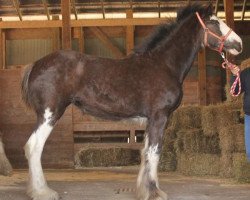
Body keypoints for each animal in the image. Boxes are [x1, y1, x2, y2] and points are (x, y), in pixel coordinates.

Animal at [21, 3, 242, 200]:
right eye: (214, 22)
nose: (239, 44)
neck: (163, 64)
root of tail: (35, 65)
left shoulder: (150, 120)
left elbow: (145, 153)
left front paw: (146, 190)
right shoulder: (159, 116)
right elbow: (154, 153)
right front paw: (154, 193)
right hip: (50, 113)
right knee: (34, 147)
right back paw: (43, 192)